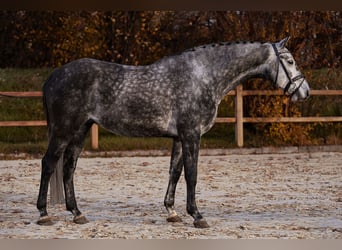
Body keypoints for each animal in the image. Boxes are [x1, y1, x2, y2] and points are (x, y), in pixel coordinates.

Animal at [36, 37, 310, 229]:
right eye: (289, 61)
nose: (305, 91)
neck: (202, 76)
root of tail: (52, 77)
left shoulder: (179, 138)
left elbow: (175, 173)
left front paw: (172, 212)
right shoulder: (191, 135)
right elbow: (192, 175)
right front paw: (197, 216)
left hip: (80, 131)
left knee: (69, 167)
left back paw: (77, 213)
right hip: (63, 131)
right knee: (49, 164)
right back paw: (44, 214)